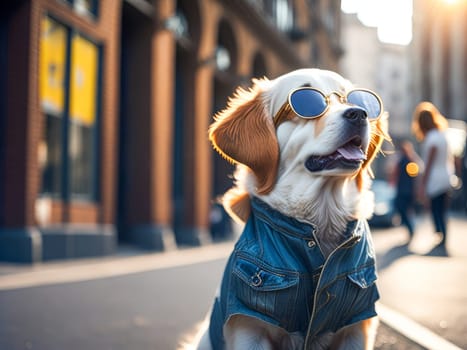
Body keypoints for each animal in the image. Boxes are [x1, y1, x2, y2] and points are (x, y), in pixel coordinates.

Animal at [185, 68, 390, 350]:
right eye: (307, 101)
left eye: (355, 99)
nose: (359, 113)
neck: (320, 219)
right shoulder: (250, 327)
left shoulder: (357, 326)